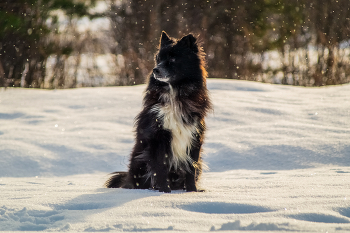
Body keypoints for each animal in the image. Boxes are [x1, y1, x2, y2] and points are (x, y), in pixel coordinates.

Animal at [105, 31, 212, 193]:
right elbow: (160, 167)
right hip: (138, 161)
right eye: (158, 59)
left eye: (173, 58)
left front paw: (192, 191)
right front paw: (164, 191)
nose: (156, 70)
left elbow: (190, 169)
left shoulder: (194, 137)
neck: (175, 95)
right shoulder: (158, 137)